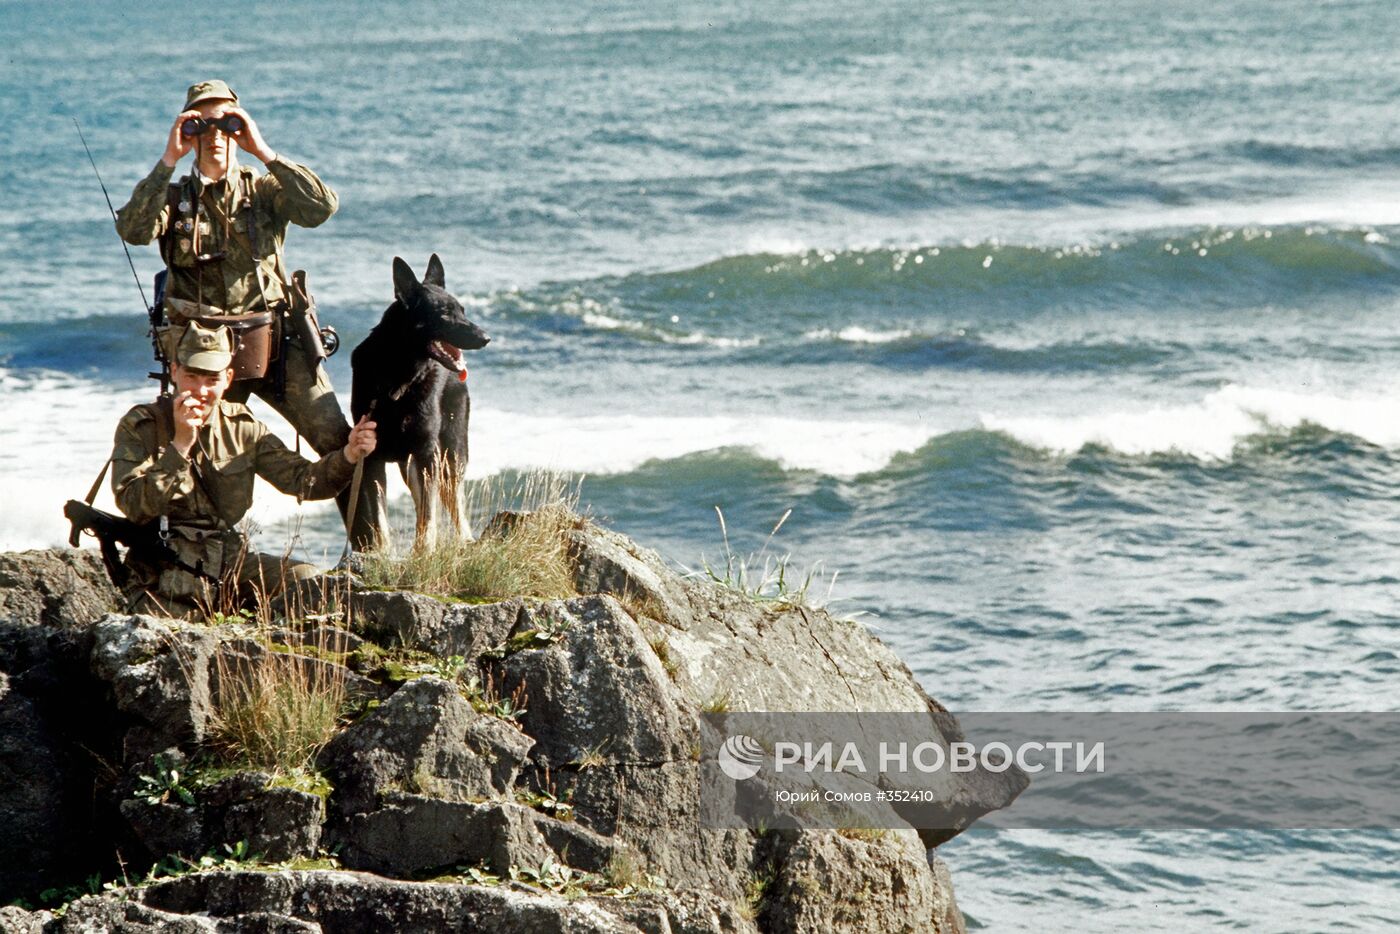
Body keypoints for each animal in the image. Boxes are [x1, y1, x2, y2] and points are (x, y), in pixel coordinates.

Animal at [350, 252, 492, 551]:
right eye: (444, 314)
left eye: (463, 310)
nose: (486, 338)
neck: (396, 381)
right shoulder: (371, 458)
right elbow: (380, 519)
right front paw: (383, 554)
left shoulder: (426, 453)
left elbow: (428, 517)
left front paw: (425, 551)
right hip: (414, 464)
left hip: (450, 455)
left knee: (453, 503)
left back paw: (464, 540)